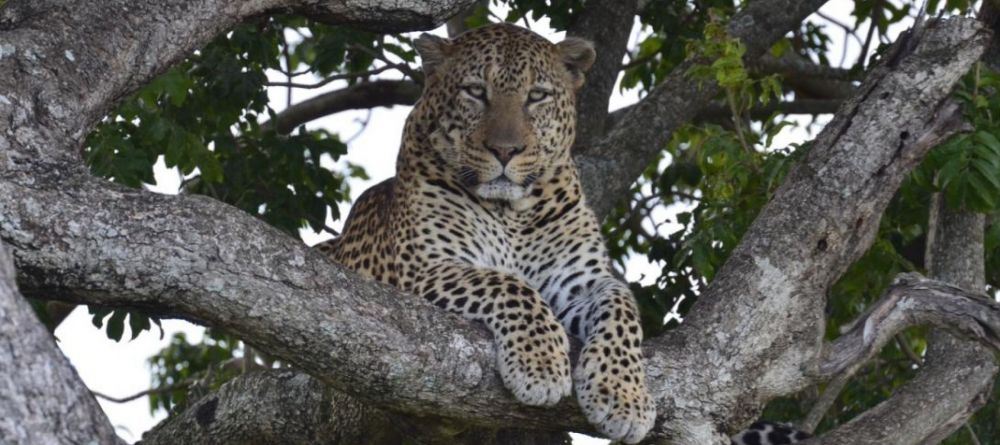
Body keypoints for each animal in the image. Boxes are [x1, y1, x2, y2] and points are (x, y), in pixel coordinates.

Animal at [314, 24, 656, 444]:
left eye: (536, 95)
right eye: (476, 91)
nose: (505, 150)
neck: (513, 213)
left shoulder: (581, 282)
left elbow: (621, 306)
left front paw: (623, 396)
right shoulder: (424, 270)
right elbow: (509, 285)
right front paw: (539, 363)